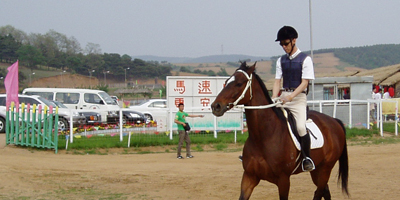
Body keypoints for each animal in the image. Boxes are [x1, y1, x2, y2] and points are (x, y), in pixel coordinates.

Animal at [211, 61, 348, 199]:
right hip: (316, 170)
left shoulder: (283, 180)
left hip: (325, 168)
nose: (215, 106)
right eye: (226, 82)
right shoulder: (249, 177)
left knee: (319, 192)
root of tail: (334, 120)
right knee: (325, 191)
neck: (264, 136)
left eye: (239, 83)